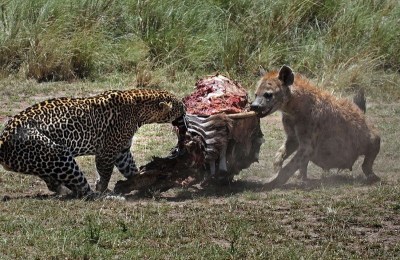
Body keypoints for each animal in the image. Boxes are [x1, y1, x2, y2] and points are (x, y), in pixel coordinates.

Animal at [0, 88, 187, 198]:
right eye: (181, 107)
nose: (186, 111)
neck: (139, 110)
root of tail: (3, 139)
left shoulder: (122, 151)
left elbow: (131, 169)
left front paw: (141, 182)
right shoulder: (107, 152)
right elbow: (105, 173)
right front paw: (102, 187)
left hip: (43, 162)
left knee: (54, 182)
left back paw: (62, 190)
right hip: (59, 155)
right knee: (84, 190)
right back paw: (105, 196)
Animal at [250, 64, 382, 187]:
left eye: (268, 94)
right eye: (256, 94)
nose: (254, 106)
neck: (292, 109)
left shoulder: (307, 140)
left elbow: (290, 166)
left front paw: (272, 182)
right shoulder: (293, 137)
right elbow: (279, 154)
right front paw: (275, 172)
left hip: (372, 137)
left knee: (367, 162)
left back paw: (373, 177)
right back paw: (302, 177)